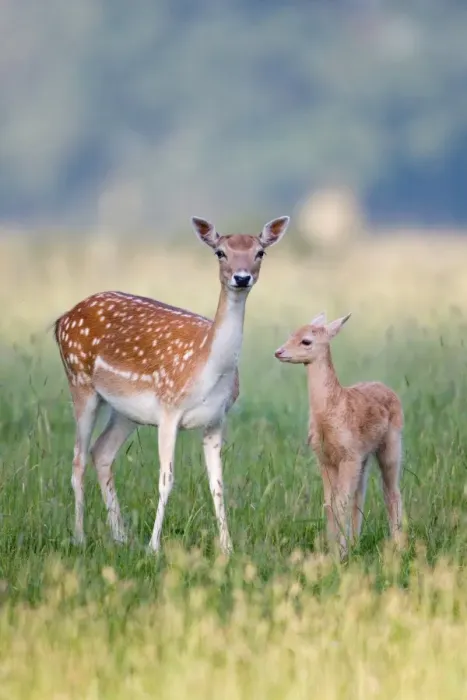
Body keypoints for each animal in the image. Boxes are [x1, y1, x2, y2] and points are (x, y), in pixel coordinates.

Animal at [53, 215, 290, 555]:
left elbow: (217, 484)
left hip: (126, 411)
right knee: (78, 460)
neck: (207, 368)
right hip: (79, 381)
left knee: (102, 451)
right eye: (220, 252)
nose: (242, 277)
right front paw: (154, 547)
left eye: (260, 252)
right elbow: (166, 479)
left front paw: (227, 548)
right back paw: (80, 537)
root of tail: (61, 320)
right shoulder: (169, 410)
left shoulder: (216, 419)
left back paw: (121, 536)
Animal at [274, 312, 403, 558]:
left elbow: (341, 502)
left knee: (391, 492)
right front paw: (333, 549)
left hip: (391, 445)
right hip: (364, 458)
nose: (279, 352)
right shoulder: (325, 458)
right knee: (360, 494)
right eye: (291, 334)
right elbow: (329, 504)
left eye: (306, 341)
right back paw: (356, 543)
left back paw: (398, 544)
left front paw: (339, 554)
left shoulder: (348, 455)